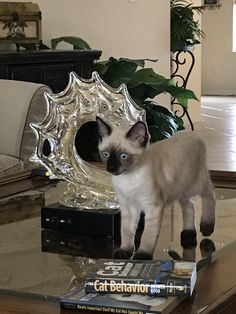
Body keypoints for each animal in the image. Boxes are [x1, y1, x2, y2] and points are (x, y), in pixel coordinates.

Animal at [96, 116, 216, 258]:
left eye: (123, 156)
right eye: (106, 154)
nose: (111, 168)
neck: (128, 178)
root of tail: (191, 133)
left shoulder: (152, 207)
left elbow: (147, 235)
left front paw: (142, 255)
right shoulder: (128, 206)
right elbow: (126, 231)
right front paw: (125, 251)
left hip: (196, 185)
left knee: (210, 194)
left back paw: (207, 227)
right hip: (180, 190)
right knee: (190, 206)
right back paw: (188, 235)